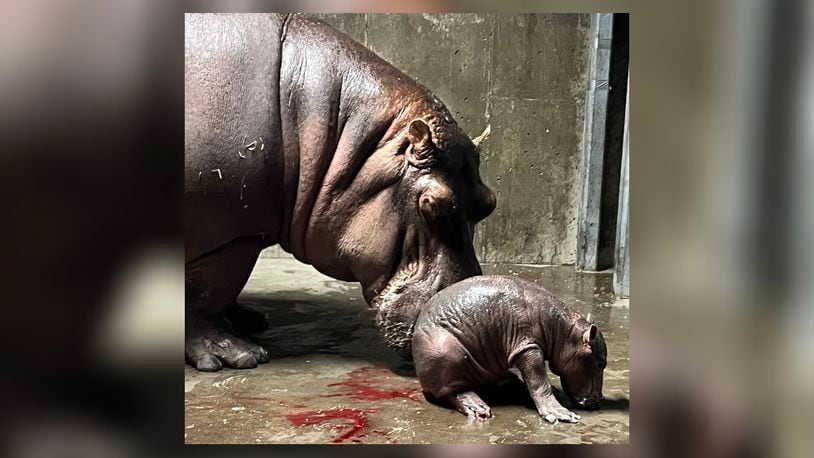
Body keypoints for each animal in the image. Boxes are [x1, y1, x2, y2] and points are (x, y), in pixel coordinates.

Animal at [186, 14, 498, 370]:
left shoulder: (245, 231)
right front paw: (237, 356)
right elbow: (207, 294)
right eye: (433, 204)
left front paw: (248, 319)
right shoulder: (230, 234)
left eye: (489, 202)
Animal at [414, 276, 604, 422]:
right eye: (600, 363)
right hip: (447, 353)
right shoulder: (527, 348)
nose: (599, 400)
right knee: (455, 391)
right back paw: (480, 409)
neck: (564, 332)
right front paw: (560, 413)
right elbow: (539, 381)